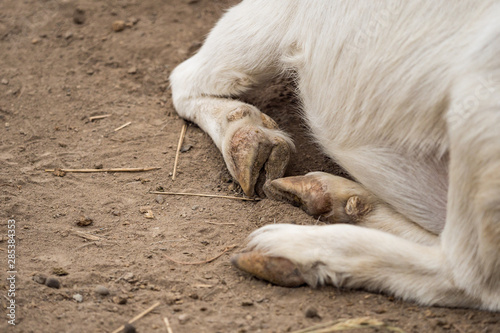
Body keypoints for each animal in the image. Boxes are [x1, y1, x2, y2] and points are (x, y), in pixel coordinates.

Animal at [169, 1, 500, 310]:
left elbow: (189, 78)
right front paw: (255, 143)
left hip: (480, 115)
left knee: (469, 276)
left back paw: (286, 248)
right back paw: (330, 197)